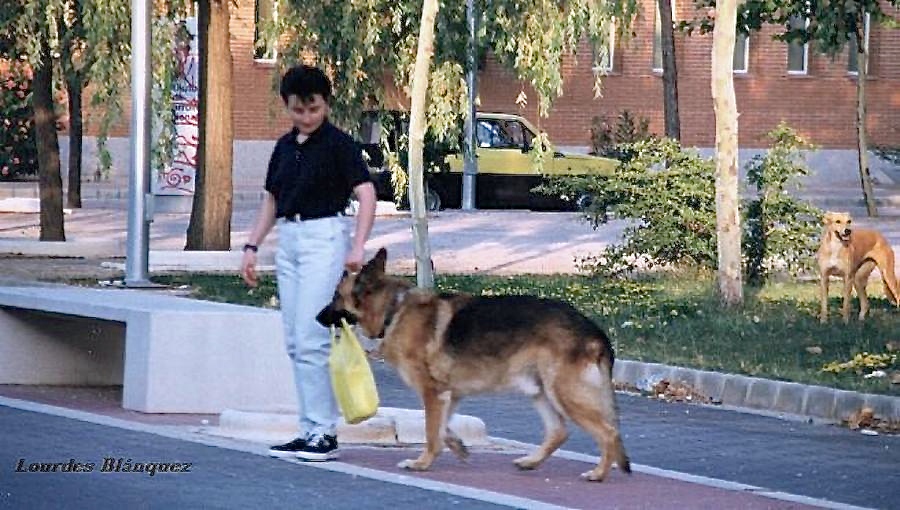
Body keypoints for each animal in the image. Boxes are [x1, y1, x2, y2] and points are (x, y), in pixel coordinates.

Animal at [318, 249, 632, 480]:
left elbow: (431, 433)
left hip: (564, 393)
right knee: (559, 431)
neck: (393, 311)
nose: (317, 317)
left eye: (335, 296)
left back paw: (598, 473)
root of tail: (593, 330)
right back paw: (530, 462)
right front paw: (457, 447)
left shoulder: (433, 393)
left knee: (608, 432)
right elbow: (442, 430)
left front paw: (422, 464)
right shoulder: (449, 395)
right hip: (539, 391)